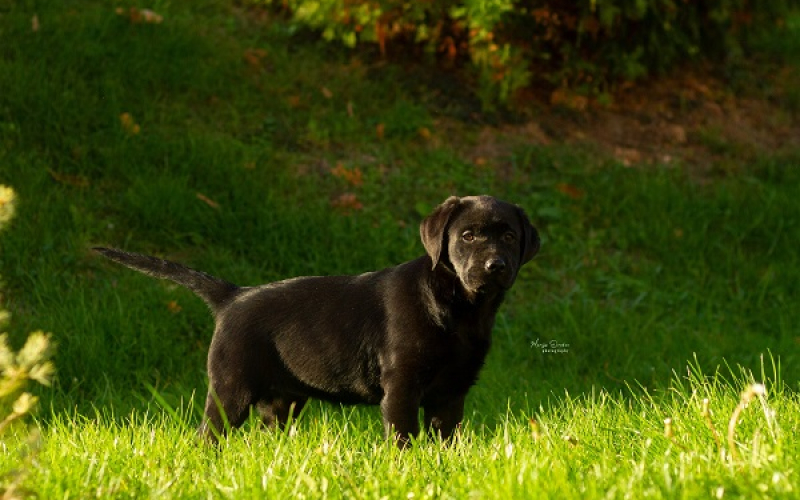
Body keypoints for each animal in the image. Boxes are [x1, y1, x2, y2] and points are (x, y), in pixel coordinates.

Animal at [97, 194, 540, 446]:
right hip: (230, 389)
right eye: (467, 236)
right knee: (208, 435)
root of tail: (233, 296)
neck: (463, 307)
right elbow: (402, 437)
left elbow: (446, 440)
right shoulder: (402, 386)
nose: (495, 265)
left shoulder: (452, 392)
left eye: (509, 237)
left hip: (282, 400)